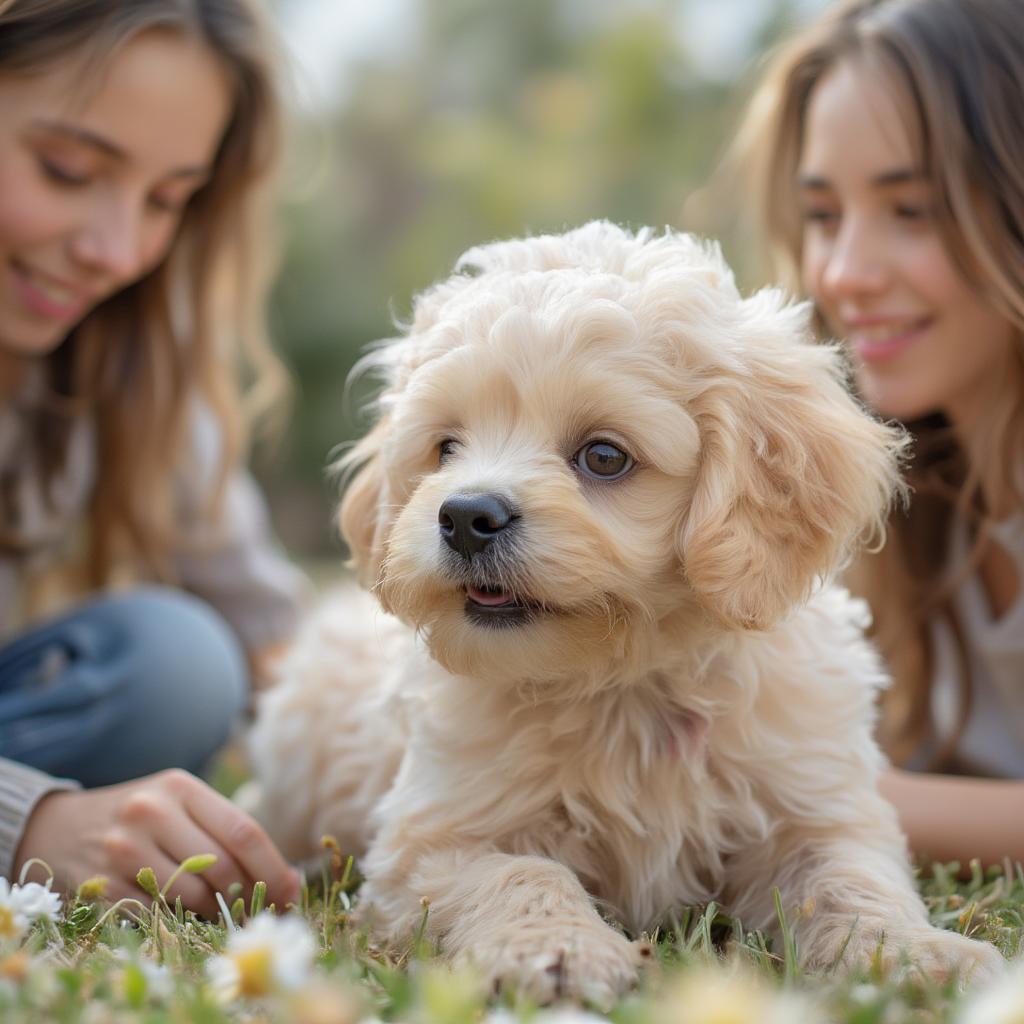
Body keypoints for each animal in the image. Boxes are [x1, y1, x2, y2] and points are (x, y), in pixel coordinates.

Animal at [251, 224, 1003, 999]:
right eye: (446, 447)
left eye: (604, 457)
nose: (463, 516)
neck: (625, 683)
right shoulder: (431, 842)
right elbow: (523, 872)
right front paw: (561, 951)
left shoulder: (817, 808)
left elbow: (849, 882)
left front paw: (913, 955)